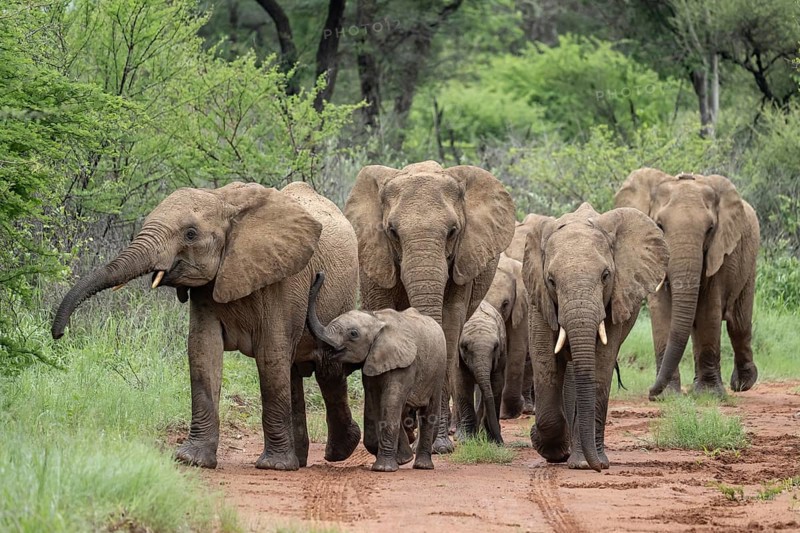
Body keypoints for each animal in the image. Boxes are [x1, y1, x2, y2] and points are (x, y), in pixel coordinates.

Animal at [51, 181, 362, 471]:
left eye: (190, 234)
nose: (58, 333)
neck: (225, 201)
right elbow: (203, 351)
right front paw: (192, 460)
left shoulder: (285, 280)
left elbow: (271, 356)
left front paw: (273, 466)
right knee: (295, 373)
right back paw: (301, 460)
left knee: (327, 370)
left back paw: (339, 451)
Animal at [306, 272, 447, 472]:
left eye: (353, 334)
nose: (319, 274)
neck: (376, 319)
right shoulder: (372, 362)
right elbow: (374, 403)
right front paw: (401, 459)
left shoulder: (404, 363)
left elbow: (390, 402)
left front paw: (384, 468)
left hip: (438, 369)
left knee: (428, 413)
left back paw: (422, 466)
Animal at [457, 300, 507, 444]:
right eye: (465, 347)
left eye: (495, 347)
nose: (502, 442)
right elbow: (462, 383)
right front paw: (466, 439)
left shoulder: (501, 353)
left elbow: (496, 383)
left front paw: (490, 440)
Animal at [523, 203, 668, 471]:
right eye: (551, 280)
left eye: (605, 275)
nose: (601, 468)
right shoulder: (539, 301)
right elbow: (546, 363)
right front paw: (549, 447)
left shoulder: (615, 299)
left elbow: (601, 367)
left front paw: (584, 463)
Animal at [615, 169, 760, 399]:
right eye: (659, 226)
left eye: (710, 229)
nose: (650, 392)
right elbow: (662, 311)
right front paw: (667, 397)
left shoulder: (719, 254)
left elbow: (709, 311)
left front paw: (710, 395)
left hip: (749, 260)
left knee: (738, 323)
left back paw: (742, 383)